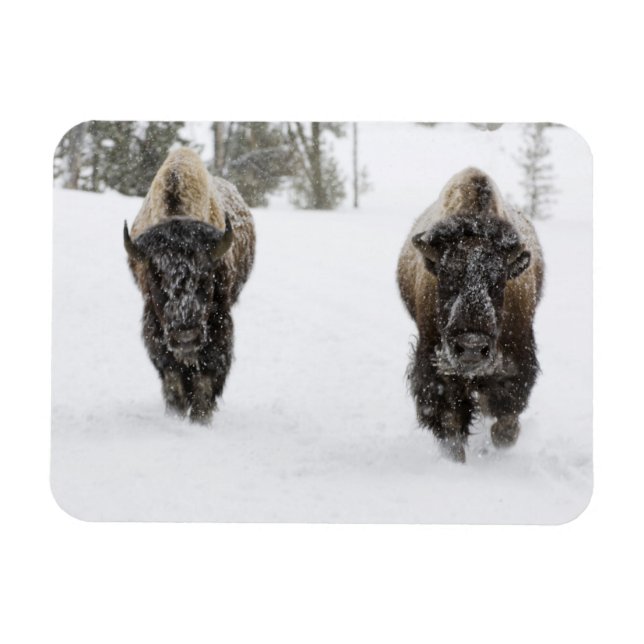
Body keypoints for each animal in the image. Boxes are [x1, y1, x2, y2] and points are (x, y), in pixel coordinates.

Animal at [124, 148, 255, 422]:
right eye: (156, 277)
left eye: (206, 276)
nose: (186, 336)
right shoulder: (155, 324)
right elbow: (172, 375)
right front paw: (176, 414)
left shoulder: (219, 322)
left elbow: (206, 375)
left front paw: (200, 418)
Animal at [397, 168, 544, 462]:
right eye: (446, 277)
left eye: (498, 281)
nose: (472, 347)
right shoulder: (436, 369)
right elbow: (451, 422)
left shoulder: (516, 361)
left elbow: (505, 420)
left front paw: (499, 442)